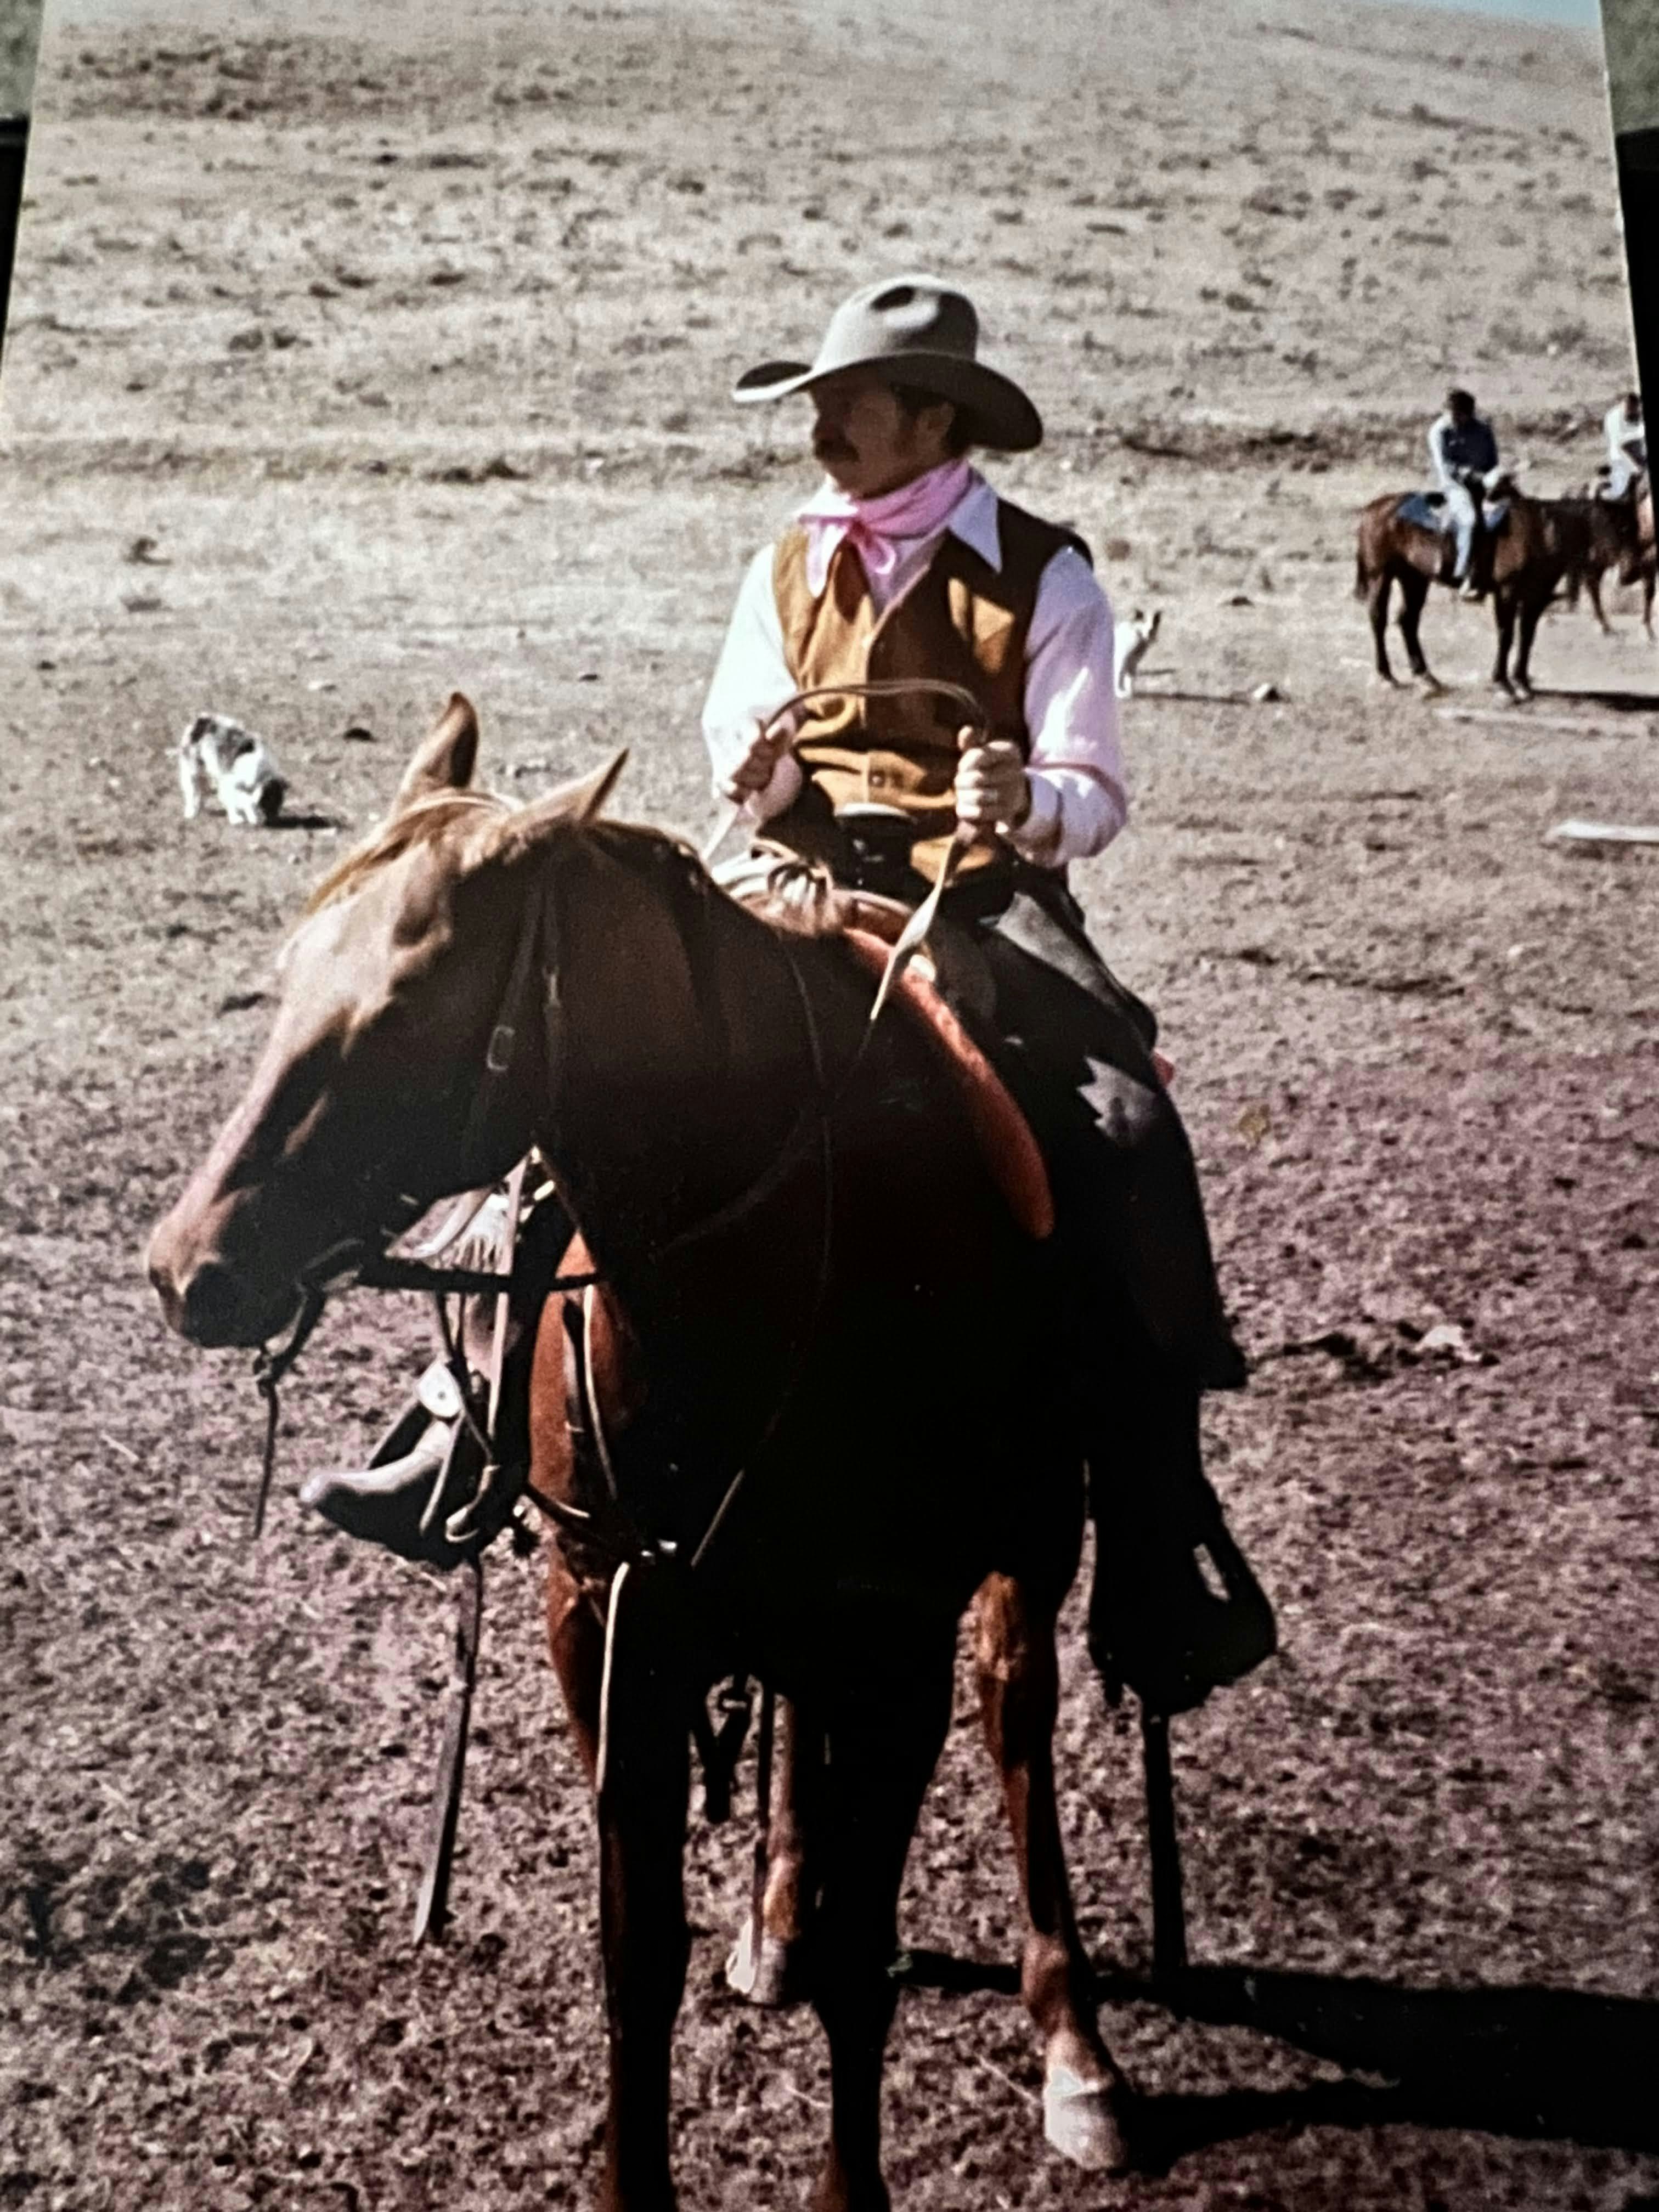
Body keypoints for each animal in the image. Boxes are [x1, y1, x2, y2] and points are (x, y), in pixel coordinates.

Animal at [149, 699, 1167, 2203]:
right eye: (287, 975)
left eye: (406, 1007)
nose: (188, 1270)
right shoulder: (612, 1613)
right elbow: (639, 1955)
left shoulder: (898, 1643)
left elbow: (866, 1961)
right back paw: (775, 1917)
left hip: (1026, 1547)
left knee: (1019, 1718)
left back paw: (1076, 2049)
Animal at [1362, 479, 1583, 695]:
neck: (1535, 533)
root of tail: (1375, 508)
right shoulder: (1507, 592)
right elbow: (1506, 634)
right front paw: (1502, 683)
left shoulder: (1535, 598)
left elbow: (1527, 637)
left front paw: (1521, 682)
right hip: (1380, 575)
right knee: (1379, 619)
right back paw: (1387, 676)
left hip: (1414, 578)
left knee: (1408, 620)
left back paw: (1426, 677)